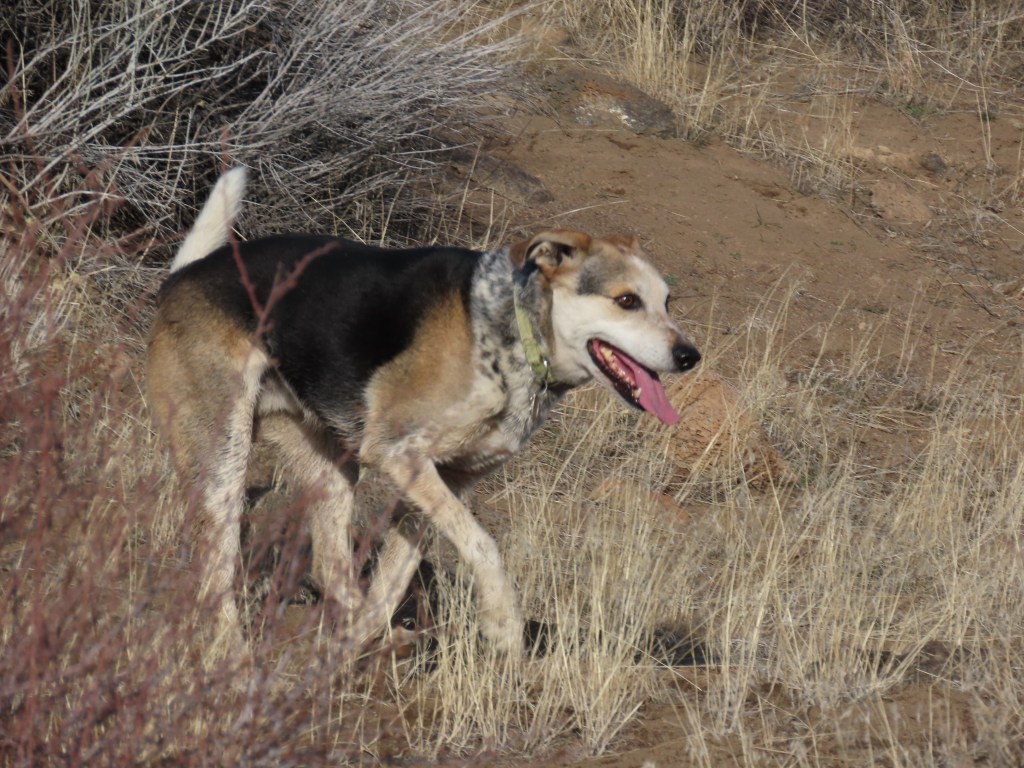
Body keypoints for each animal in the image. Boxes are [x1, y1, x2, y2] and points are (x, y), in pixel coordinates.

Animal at [147, 167, 700, 656]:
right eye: (626, 301)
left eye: (668, 302)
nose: (689, 356)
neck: (509, 331)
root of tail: (181, 276)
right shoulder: (397, 452)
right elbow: (484, 546)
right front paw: (503, 624)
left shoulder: (442, 480)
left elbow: (395, 577)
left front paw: (362, 641)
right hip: (223, 460)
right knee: (215, 564)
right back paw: (233, 655)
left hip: (330, 468)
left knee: (332, 567)